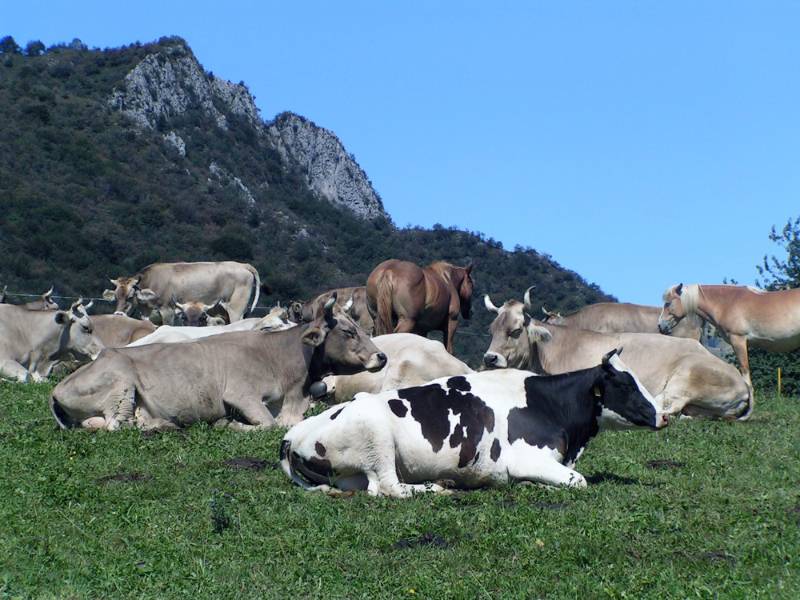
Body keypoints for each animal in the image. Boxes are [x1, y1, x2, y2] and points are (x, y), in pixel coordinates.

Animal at [50, 294, 387, 431]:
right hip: (121, 387)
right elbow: (267, 423)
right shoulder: (240, 394)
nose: (382, 356)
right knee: (114, 424)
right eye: (348, 332)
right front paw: (232, 424)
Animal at [103, 261, 260, 324]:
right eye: (116, 296)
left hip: (236, 309)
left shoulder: (167, 310)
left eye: (130, 297)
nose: (118, 314)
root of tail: (242, 265)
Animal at [280, 350, 667, 497]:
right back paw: (437, 488)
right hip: (376, 437)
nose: (663, 415)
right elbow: (579, 481)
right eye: (625, 384)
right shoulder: (526, 457)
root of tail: (292, 434)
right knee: (390, 488)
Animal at [482, 292, 752, 420]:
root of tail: (743, 385)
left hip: (686, 377)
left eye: (515, 331)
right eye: (492, 330)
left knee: (665, 405)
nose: (489, 358)